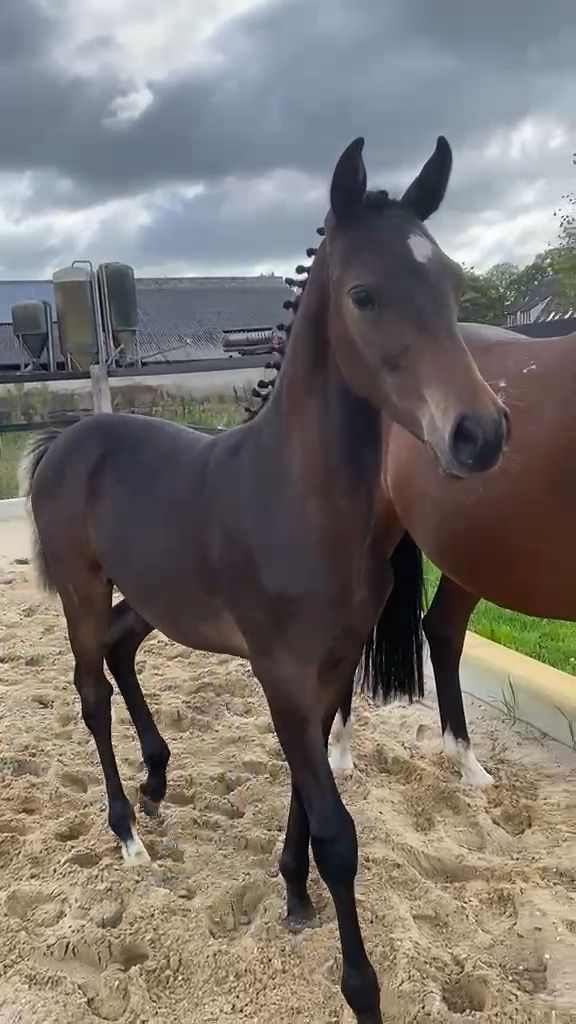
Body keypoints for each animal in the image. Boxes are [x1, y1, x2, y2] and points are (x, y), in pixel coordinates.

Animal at [22, 136, 508, 1024]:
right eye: (363, 294)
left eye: (455, 282)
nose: (481, 434)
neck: (301, 500)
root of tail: (62, 441)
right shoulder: (279, 671)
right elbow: (337, 832)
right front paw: (360, 988)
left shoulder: (327, 669)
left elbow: (307, 791)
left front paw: (293, 896)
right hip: (81, 586)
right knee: (90, 690)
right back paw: (128, 835)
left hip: (152, 596)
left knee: (120, 651)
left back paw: (157, 780)